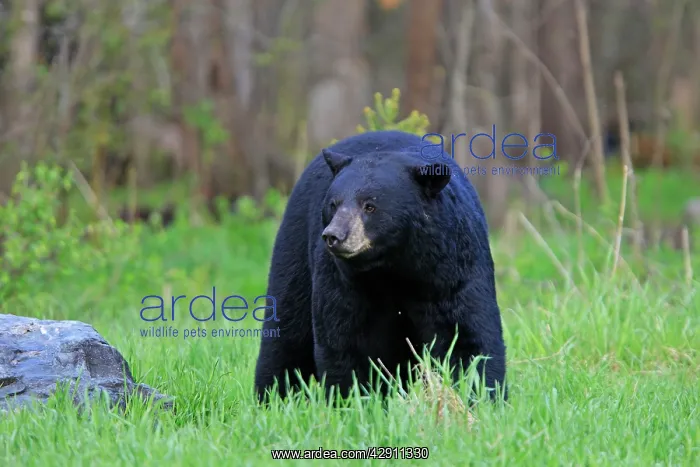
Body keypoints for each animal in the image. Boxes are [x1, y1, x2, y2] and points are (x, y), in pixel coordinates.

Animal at [254, 130, 507, 403]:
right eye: (333, 204)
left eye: (370, 206)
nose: (334, 235)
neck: (391, 266)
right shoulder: (342, 280)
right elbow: (344, 340)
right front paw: (352, 400)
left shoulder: (451, 269)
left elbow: (467, 335)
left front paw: (481, 397)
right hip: (296, 243)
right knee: (286, 330)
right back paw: (272, 396)